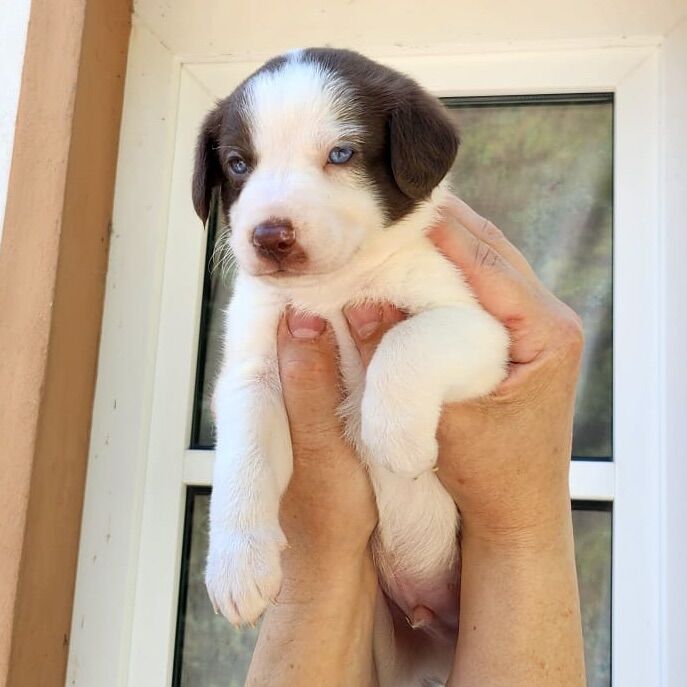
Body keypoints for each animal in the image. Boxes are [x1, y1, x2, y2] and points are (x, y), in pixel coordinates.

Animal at [191, 49, 508, 687]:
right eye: (237, 164)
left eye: (341, 154)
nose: (270, 236)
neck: (332, 290)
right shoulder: (251, 370)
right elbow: (243, 456)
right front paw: (237, 562)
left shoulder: (483, 333)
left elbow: (406, 341)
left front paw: (393, 441)